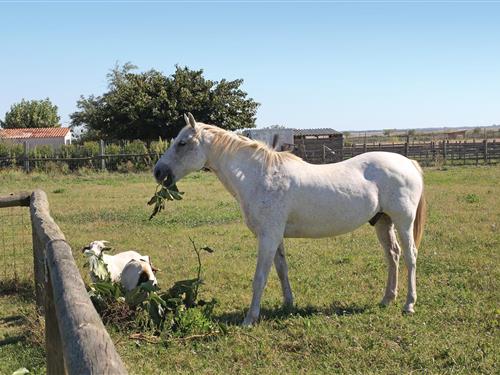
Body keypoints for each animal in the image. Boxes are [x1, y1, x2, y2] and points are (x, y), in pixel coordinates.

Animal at [153, 114, 426, 326]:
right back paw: (387, 299)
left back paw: (409, 304)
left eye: (182, 143)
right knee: (393, 255)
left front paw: (250, 319)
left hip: (403, 222)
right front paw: (288, 304)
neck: (260, 176)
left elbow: (260, 278)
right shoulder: (275, 237)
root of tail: (408, 162)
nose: (158, 172)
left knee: (410, 256)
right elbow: (281, 270)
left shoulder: (268, 237)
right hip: (382, 222)